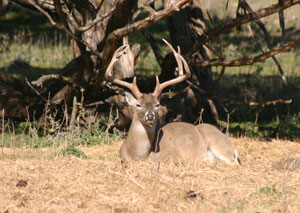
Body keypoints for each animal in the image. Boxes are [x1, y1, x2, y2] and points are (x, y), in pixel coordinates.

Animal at [105, 39, 241, 165]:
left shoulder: (171, 157)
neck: (138, 155)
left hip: (217, 141)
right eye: (138, 104)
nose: (150, 115)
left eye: (157, 104)